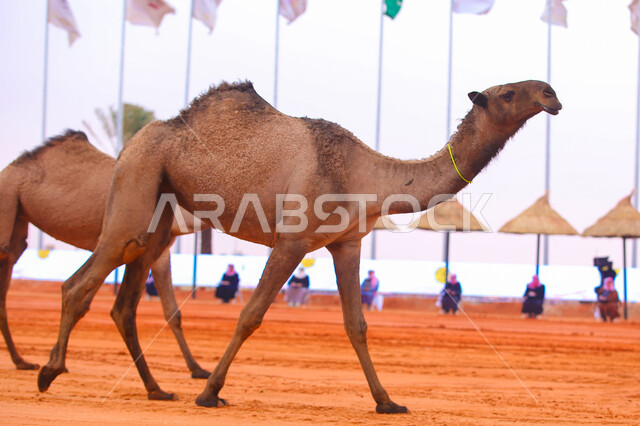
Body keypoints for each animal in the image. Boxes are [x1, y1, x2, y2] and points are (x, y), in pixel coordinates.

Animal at [0, 130, 209, 379]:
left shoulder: (160, 253)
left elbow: (172, 312)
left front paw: (197, 369)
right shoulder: (111, 244)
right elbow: (83, 302)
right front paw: (54, 360)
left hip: (18, 227)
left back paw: (21, 361)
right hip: (7, 203)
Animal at [37, 80, 561, 412]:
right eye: (508, 92)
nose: (552, 94)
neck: (365, 176)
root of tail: (134, 142)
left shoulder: (347, 244)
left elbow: (357, 325)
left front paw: (387, 401)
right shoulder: (292, 241)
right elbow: (251, 315)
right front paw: (209, 393)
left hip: (160, 212)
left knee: (123, 300)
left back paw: (155, 390)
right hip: (138, 180)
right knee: (80, 281)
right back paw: (48, 373)